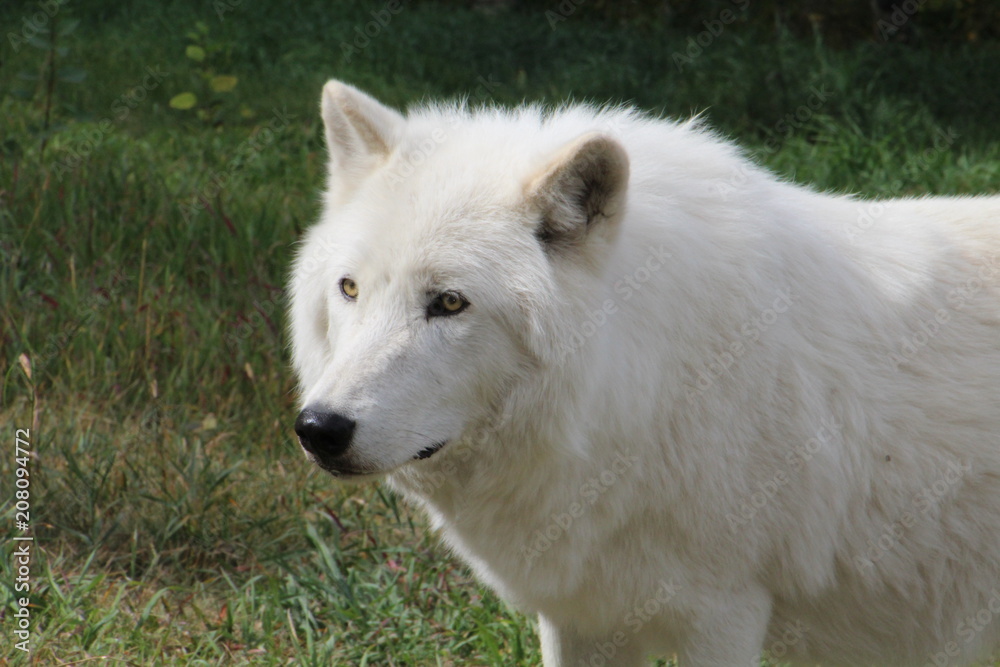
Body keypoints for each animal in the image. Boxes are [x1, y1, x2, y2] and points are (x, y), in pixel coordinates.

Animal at [288, 81, 1000, 664]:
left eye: (450, 303)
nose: (319, 428)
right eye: (350, 288)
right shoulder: (579, 616)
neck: (650, 395)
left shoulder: (724, 616)